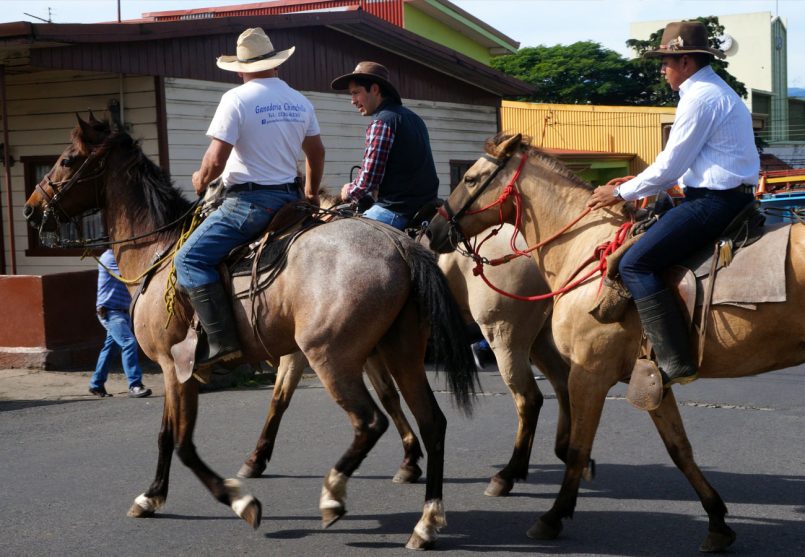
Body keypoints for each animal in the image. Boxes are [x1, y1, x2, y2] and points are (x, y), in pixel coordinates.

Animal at [23, 115, 478, 548]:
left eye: (67, 160)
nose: (30, 209)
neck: (159, 250)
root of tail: (399, 245)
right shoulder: (185, 370)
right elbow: (174, 434)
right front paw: (154, 496)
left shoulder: (177, 368)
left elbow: (181, 442)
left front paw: (236, 499)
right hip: (401, 353)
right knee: (432, 422)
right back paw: (425, 523)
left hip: (332, 357)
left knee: (370, 422)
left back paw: (334, 495)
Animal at [428, 132, 804, 548]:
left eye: (471, 179)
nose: (432, 230)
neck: (585, 253)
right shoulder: (651, 380)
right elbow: (680, 449)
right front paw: (717, 520)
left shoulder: (590, 374)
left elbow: (580, 447)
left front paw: (554, 515)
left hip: (507, 337)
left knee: (530, 397)